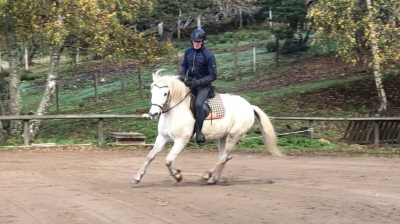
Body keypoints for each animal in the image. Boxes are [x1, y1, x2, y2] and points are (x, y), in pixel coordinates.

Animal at [131, 69, 282, 185]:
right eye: (152, 92)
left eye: (165, 93)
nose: (153, 114)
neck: (174, 111)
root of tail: (249, 106)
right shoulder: (163, 137)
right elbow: (151, 157)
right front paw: (137, 178)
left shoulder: (181, 140)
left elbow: (168, 160)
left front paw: (178, 176)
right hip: (223, 137)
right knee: (224, 157)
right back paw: (213, 179)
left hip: (233, 136)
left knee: (224, 158)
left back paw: (207, 175)